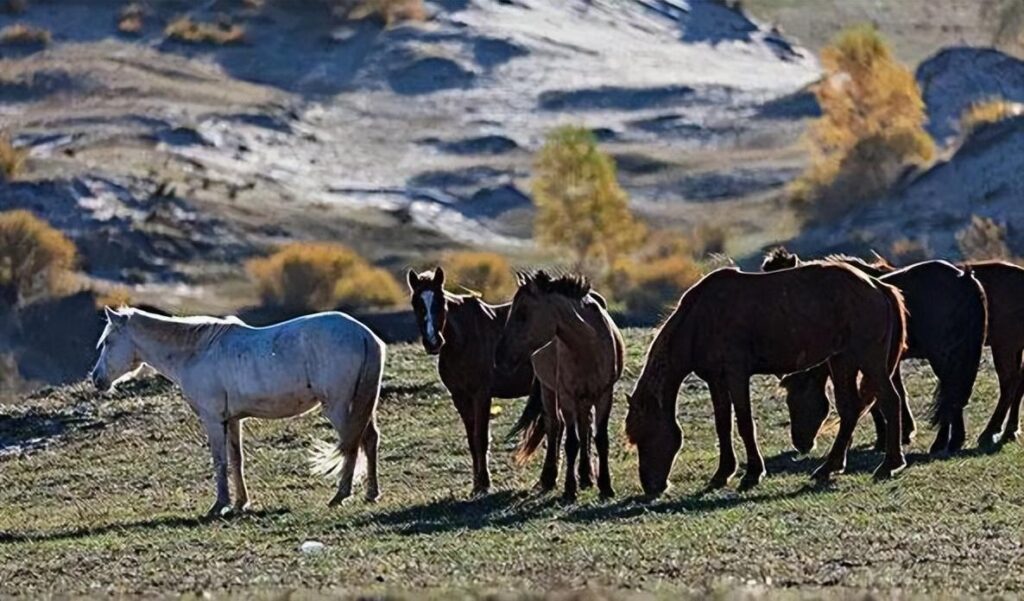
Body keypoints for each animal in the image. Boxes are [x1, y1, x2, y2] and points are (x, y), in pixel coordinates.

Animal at [90, 305, 385, 518]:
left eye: (108, 341)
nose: (96, 379)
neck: (196, 351)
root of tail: (364, 335)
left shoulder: (212, 420)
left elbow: (219, 461)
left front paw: (219, 504)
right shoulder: (231, 420)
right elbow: (236, 460)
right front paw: (241, 503)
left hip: (339, 407)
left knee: (352, 444)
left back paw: (340, 495)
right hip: (360, 406)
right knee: (369, 439)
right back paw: (371, 493)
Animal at [405, 266, 540, 493]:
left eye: (441, 301)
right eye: (416, 304)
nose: (433, 342)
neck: (462, 340)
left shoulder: (481, 395)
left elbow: (481, 438)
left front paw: (484, 483)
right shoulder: (460, 397)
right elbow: (471, 440)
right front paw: (477, 484)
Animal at [495, 272, 622, 503]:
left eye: (522, 313)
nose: (499, 356)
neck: (589, 347)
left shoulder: (604, 395)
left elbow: (600, 439)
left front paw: (605, 487)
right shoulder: (567, 396)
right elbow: (571, 442)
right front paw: (569, 490)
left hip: (584, 398)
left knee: (584, 425)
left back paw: (586, 477)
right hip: (549, 390)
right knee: (555, 426)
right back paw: (549, 477)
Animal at [622, 264, 905, 497]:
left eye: (646, 434)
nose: (651, 486)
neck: (700, 318)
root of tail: (877, 285)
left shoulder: (736, 374)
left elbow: (744, 423)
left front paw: (752, 474)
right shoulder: (716, 380)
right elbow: (723, 425)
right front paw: (722, 473)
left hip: (869, 362)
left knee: (891, 401)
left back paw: (889, 465)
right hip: (842, 362)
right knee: (849, 411)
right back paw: (828, 468)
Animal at [765, 248, 987, 456]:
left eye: (795, 401)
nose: (801, 445)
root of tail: (964, 277)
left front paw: (884, 439)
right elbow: (892, 394)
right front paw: (902, 433)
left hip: (943, 358)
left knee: (951, 396)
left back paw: (944, 442)